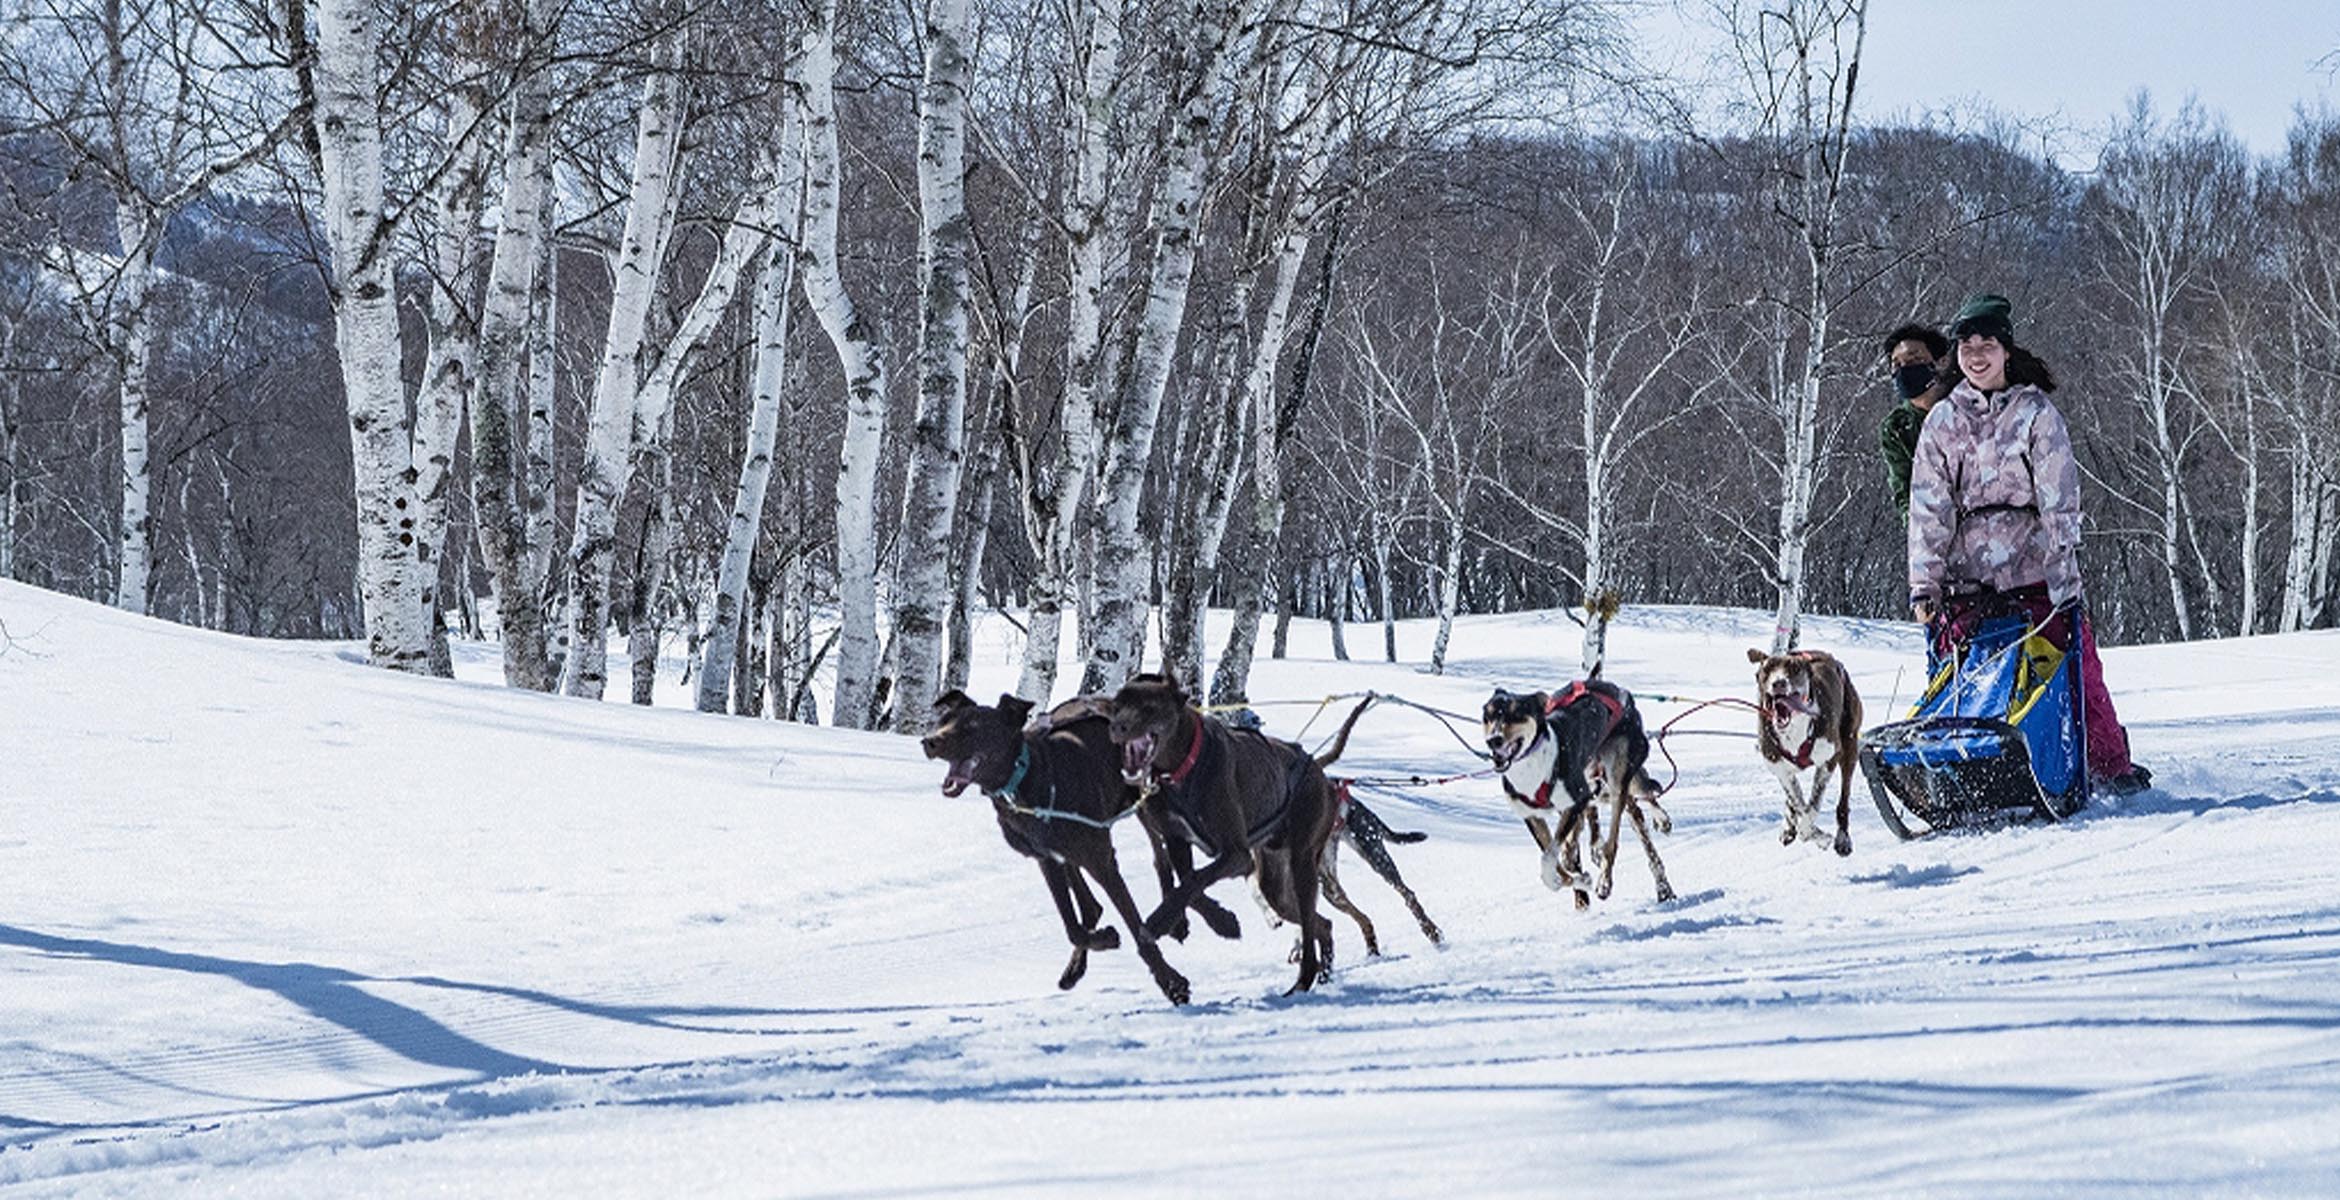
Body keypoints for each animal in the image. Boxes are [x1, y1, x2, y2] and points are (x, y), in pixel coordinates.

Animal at [1109, 673, 1347, 991]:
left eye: (1148, 706)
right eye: (1116, 706)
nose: (1117, 727)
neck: (1183, 767)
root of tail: (1318, 770)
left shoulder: (1237, 854)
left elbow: (1195, 880)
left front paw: (1159, 922)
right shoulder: (1176, 840)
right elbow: (1188, 884)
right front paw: (1221, 921)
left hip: (1303, 862)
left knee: (1309, 927)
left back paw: (1303, 981)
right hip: (1276, 885)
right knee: (1323, 924)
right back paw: (1324, 973)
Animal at [1759, 645, 1862, 851]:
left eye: (1795, 669)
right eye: (1767, 669)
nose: (1778, 683)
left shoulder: (1829, 759)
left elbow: (1812, 807)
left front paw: (1818, 836)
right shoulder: (1781, 769)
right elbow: (1799, 805)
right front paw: (1811, 832)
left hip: (1849, 748)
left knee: (1844, 799)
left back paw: (1842, 838)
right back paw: (1788, 826)